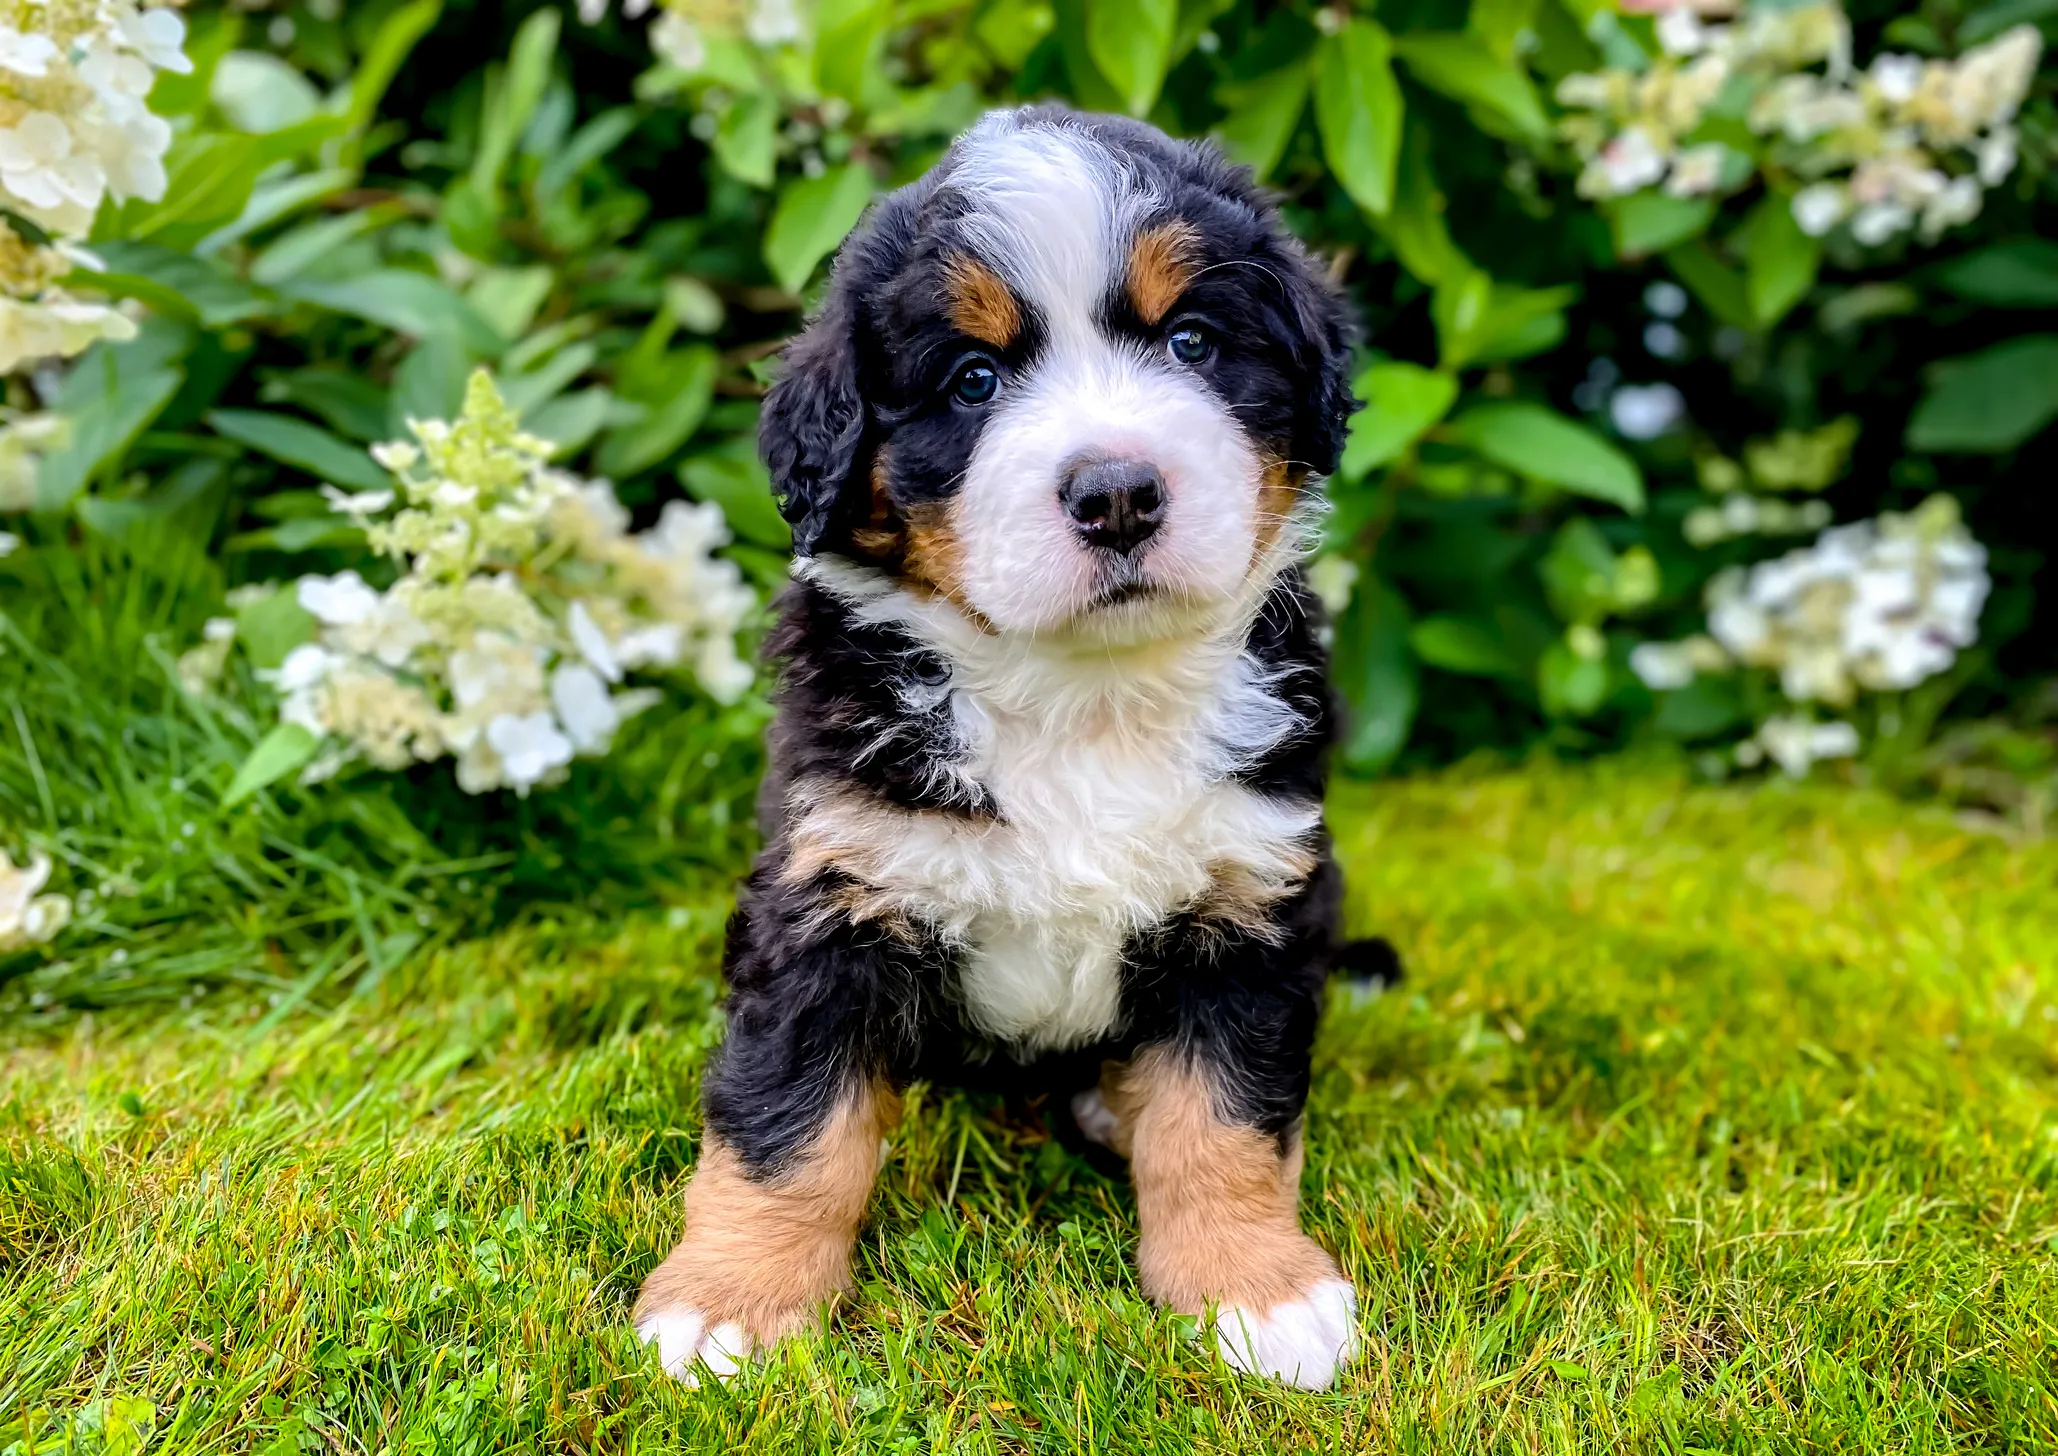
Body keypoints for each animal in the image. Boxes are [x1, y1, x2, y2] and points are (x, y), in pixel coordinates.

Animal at [625, 108, 1366, 1392]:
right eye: (973, 379)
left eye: (1192, 340)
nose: (1116, 492)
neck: (1082, 697)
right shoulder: (830, 894)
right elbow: (786, 1121)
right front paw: (730, 1303)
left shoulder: (1250, 897)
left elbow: (1225, 1115)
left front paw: (1254, 1290)